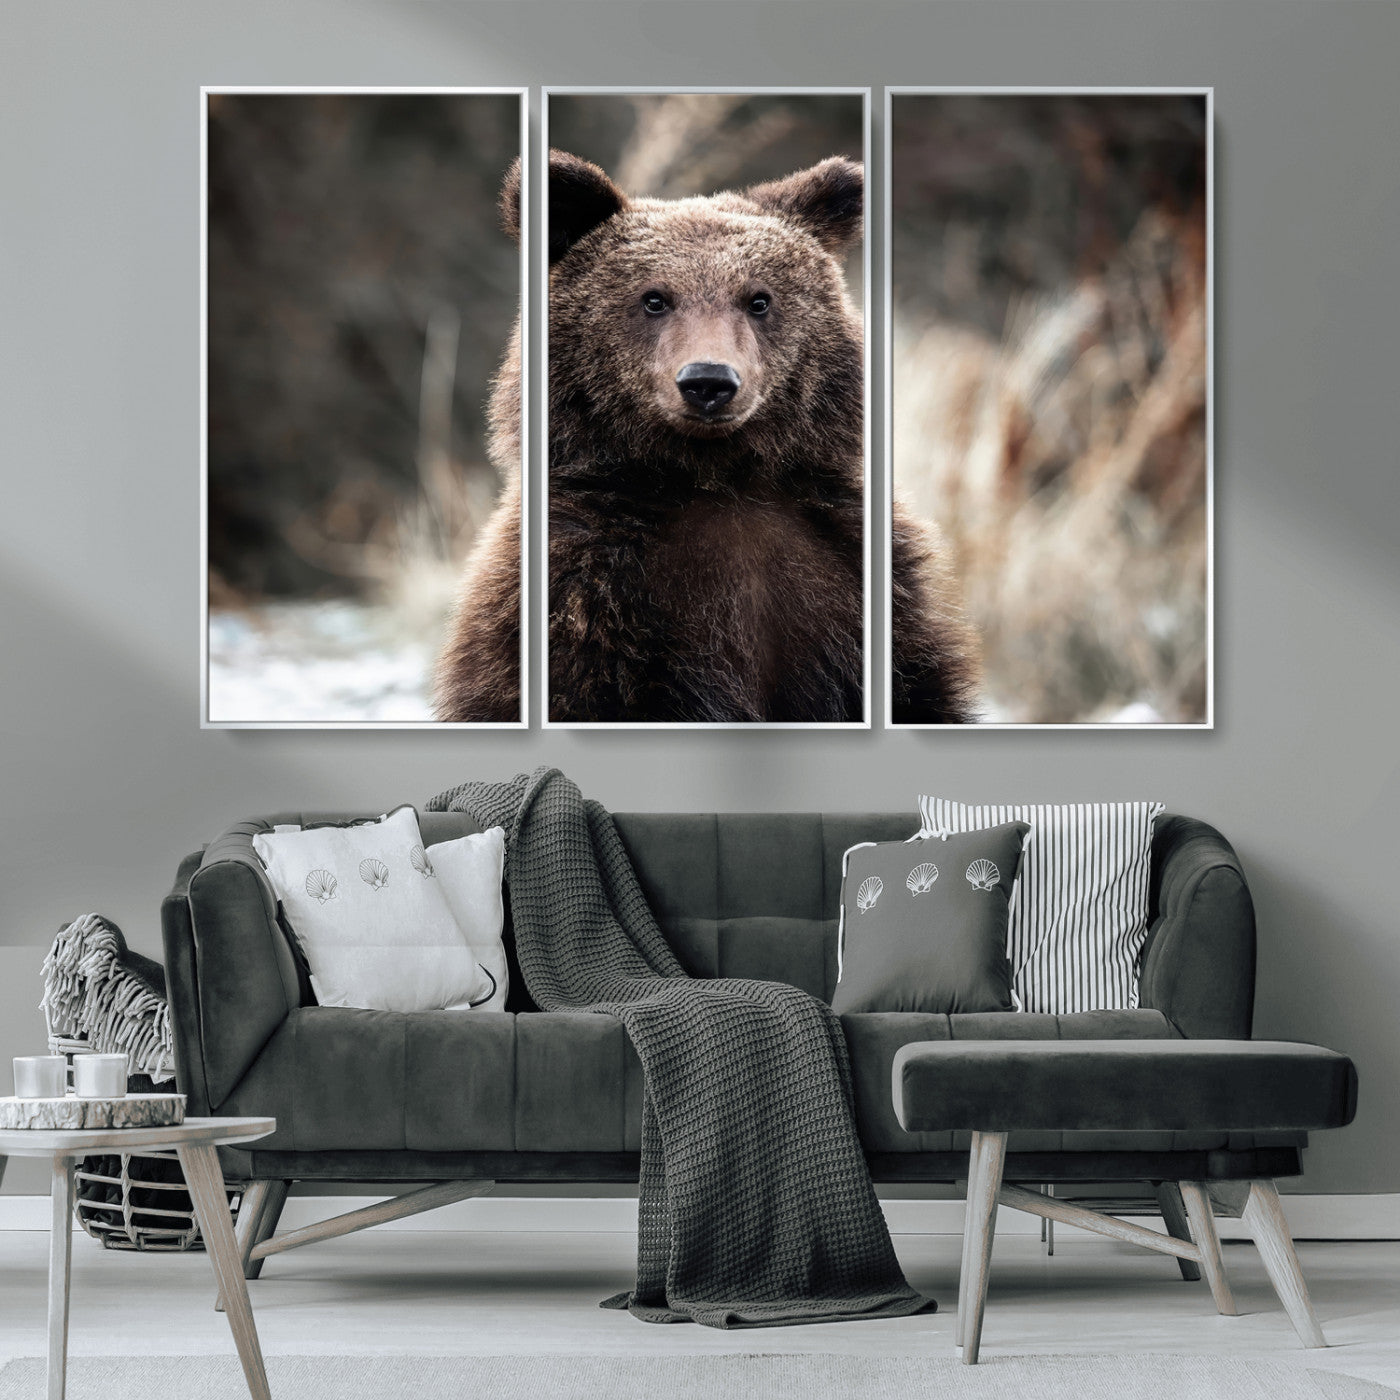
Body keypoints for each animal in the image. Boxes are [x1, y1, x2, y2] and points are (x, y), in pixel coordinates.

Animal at [433, 150, 979, 724]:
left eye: (758, 300)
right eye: (654, 299)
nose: (708, 381)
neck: (716, 476)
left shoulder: (855, 578)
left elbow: (918, 689)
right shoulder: (584, 595)